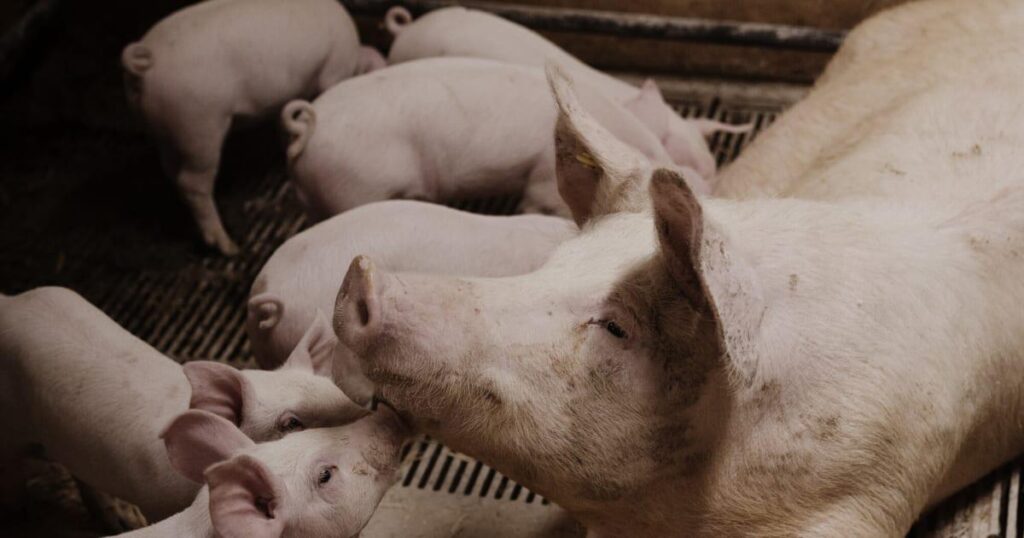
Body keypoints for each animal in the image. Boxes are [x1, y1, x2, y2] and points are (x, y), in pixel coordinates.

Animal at [0, 287, 367, 522]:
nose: (368, 417)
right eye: (291, 423)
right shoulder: (157, 502)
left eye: (332, 389)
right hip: (11, 433)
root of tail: (10, 303)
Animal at [121, 0, 385, 255]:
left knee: (172, 173)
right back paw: (228, 247)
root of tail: (147, 64)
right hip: (199, 124)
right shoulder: (334, 69)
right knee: (192, 182)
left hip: (168, 131)